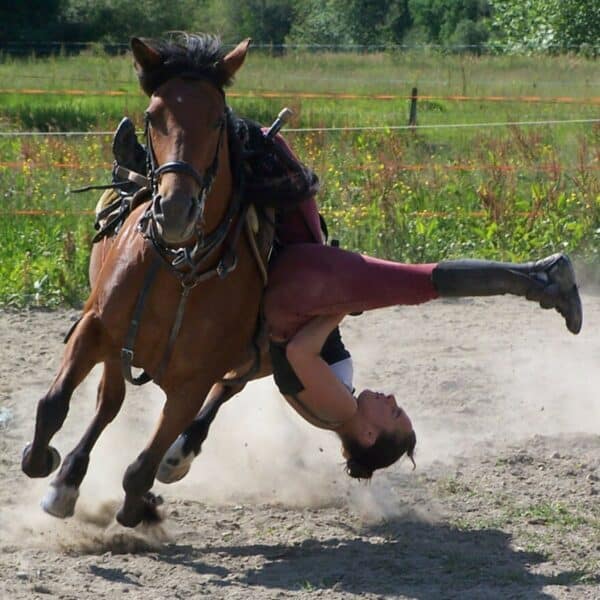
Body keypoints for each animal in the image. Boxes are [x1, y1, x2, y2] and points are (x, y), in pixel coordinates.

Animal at [20, 35, 268, 528]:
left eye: (217, 118)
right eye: (153, 115)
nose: (174, 210)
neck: (181, 270)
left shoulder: (194, 380)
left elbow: (142, 465)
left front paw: (141, 506)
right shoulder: (96, 327)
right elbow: (54, 404)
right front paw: (43, 464)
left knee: (226, 391)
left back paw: (175, 459)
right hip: (118, 347)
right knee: (108, 402)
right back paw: (68, 479)